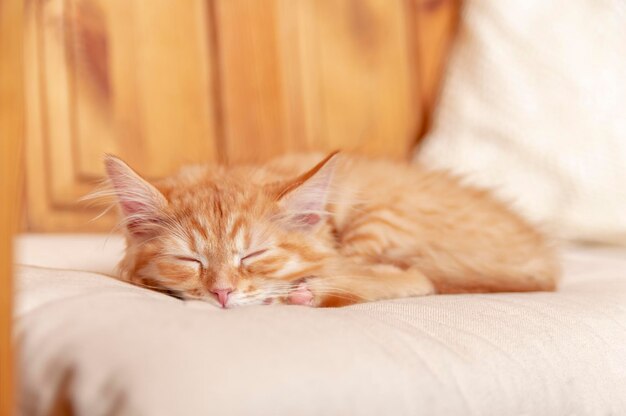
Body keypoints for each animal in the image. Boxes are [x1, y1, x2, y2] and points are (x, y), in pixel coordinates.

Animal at [101, 151, 556, 308]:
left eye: (253, 255)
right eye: (188, 260)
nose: (222, 293)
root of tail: (544, 259)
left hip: (383, 213)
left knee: (419, 279)